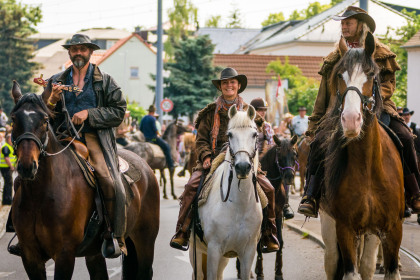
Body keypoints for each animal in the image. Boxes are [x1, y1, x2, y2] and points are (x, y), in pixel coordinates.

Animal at [10, 82, 161, 280]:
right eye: (13, 119)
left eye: (44, 120)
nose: (27, 166)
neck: (40, 195)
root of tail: (145, 165)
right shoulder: (30, 256)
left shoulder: (64, 254)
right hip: (96, 252)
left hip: (145, 242)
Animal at [190, 105, 262, 280]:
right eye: (230, 135)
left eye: (254, 134)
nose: (242, 167)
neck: (238, 206)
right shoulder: (214, 249)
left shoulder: (248, 251)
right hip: (196, 252)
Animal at [318, 33, 404, 280]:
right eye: (340, 75)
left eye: (372, 75)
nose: (350, 120)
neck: (368, 167)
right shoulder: (345, 228)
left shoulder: (392, 229)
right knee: (332, 261)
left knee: (366, 265)